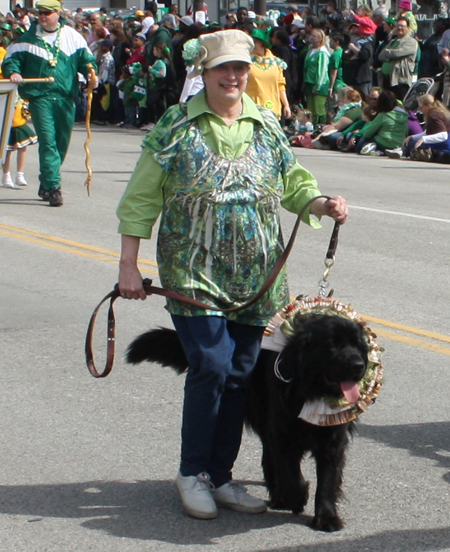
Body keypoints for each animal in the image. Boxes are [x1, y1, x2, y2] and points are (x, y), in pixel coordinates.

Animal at [125, 310, 370, 532]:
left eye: (357, 345)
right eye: (332, 345)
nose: (359, 365)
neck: (310, 391)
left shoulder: (333, 439)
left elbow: (327, 480)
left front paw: (326, 518)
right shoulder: (281, 431)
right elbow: (290, 471)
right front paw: (297, 496)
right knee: (269, 458)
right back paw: (279, 496)